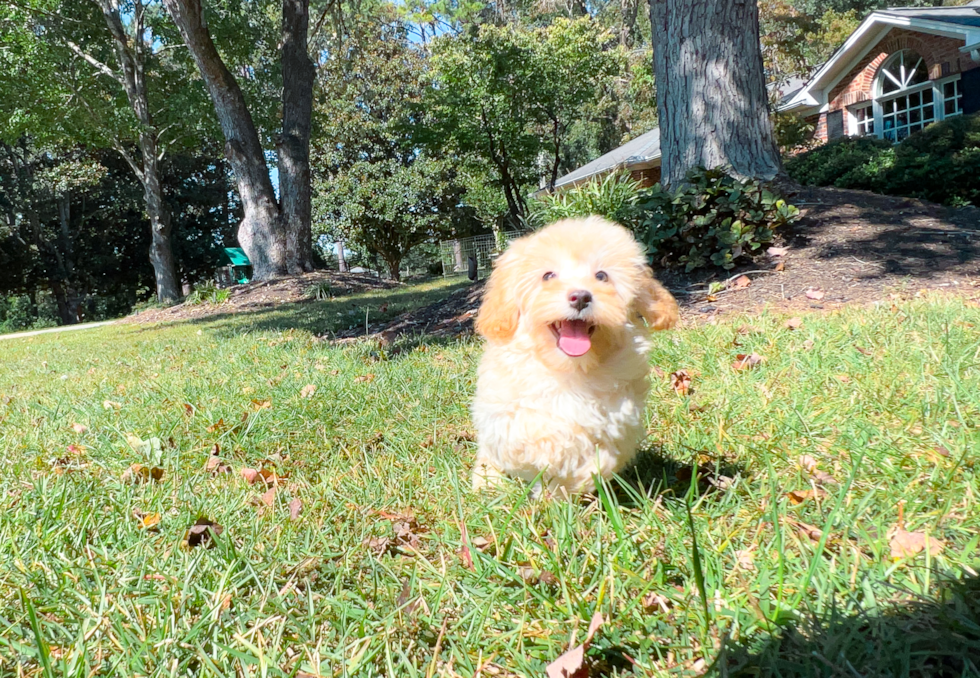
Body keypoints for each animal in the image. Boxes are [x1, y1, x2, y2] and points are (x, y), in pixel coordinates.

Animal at [472, 218, 672, 494]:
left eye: (602, 276)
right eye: (548, 275)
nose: (580, 296)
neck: (572, 367)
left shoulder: (620, 418)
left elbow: (605, 454)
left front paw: (583, 477)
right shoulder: (506, 412)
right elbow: (541, 435)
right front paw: (558, 459)